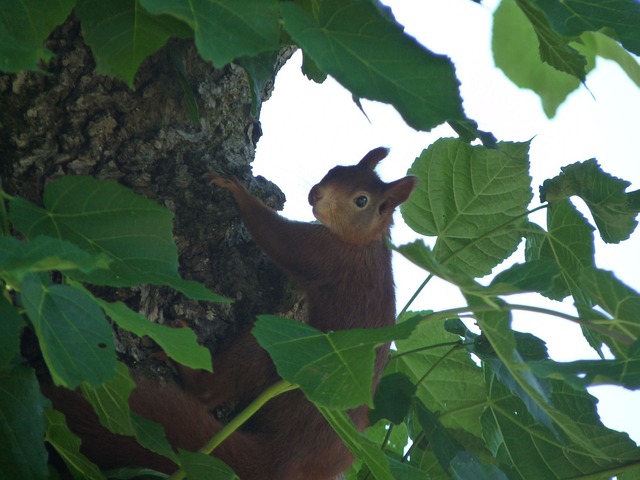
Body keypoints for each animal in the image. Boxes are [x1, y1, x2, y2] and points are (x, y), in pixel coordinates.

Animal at [43, 146, 416, 480]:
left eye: (361, 200)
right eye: (336, 168)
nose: (316, 193)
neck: (366, 242)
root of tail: (287, 459)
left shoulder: (325, 254)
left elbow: (278, 238)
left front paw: (234, 188)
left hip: (273, 358)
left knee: (210, 391)